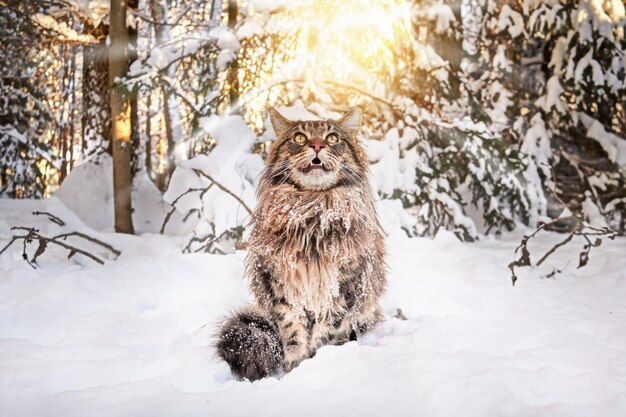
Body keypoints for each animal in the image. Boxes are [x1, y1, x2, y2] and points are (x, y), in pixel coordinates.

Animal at [217, 106, 388, 380]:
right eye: (299, 137)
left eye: (332, 138)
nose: (317, 145)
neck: (312, 209)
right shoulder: (280, 282)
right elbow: (292, 331)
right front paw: (295, 367)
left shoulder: (343, 284)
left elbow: (327, 330)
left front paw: (317, 364)